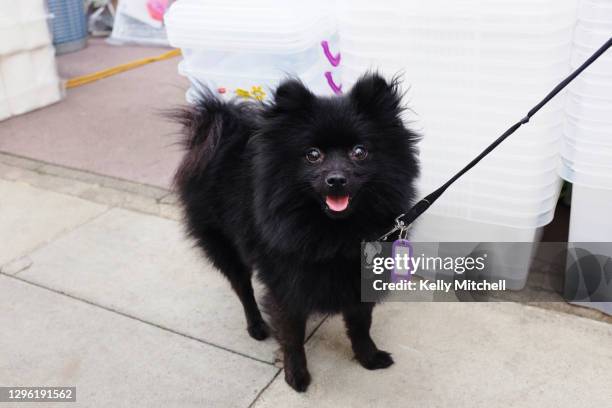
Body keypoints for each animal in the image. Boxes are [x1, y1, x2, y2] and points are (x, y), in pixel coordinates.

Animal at [175, 73, 418, 392]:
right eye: (312, 155)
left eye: (360, 152)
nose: (336, 179)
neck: (334, 230)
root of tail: (220, 129)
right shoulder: (286, 285)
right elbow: (291, 335)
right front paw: (296, 375)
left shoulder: (359, 276)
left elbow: (361, 324)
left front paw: (368, 357)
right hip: (225, 248)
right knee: (243, 289)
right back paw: (256, 326)